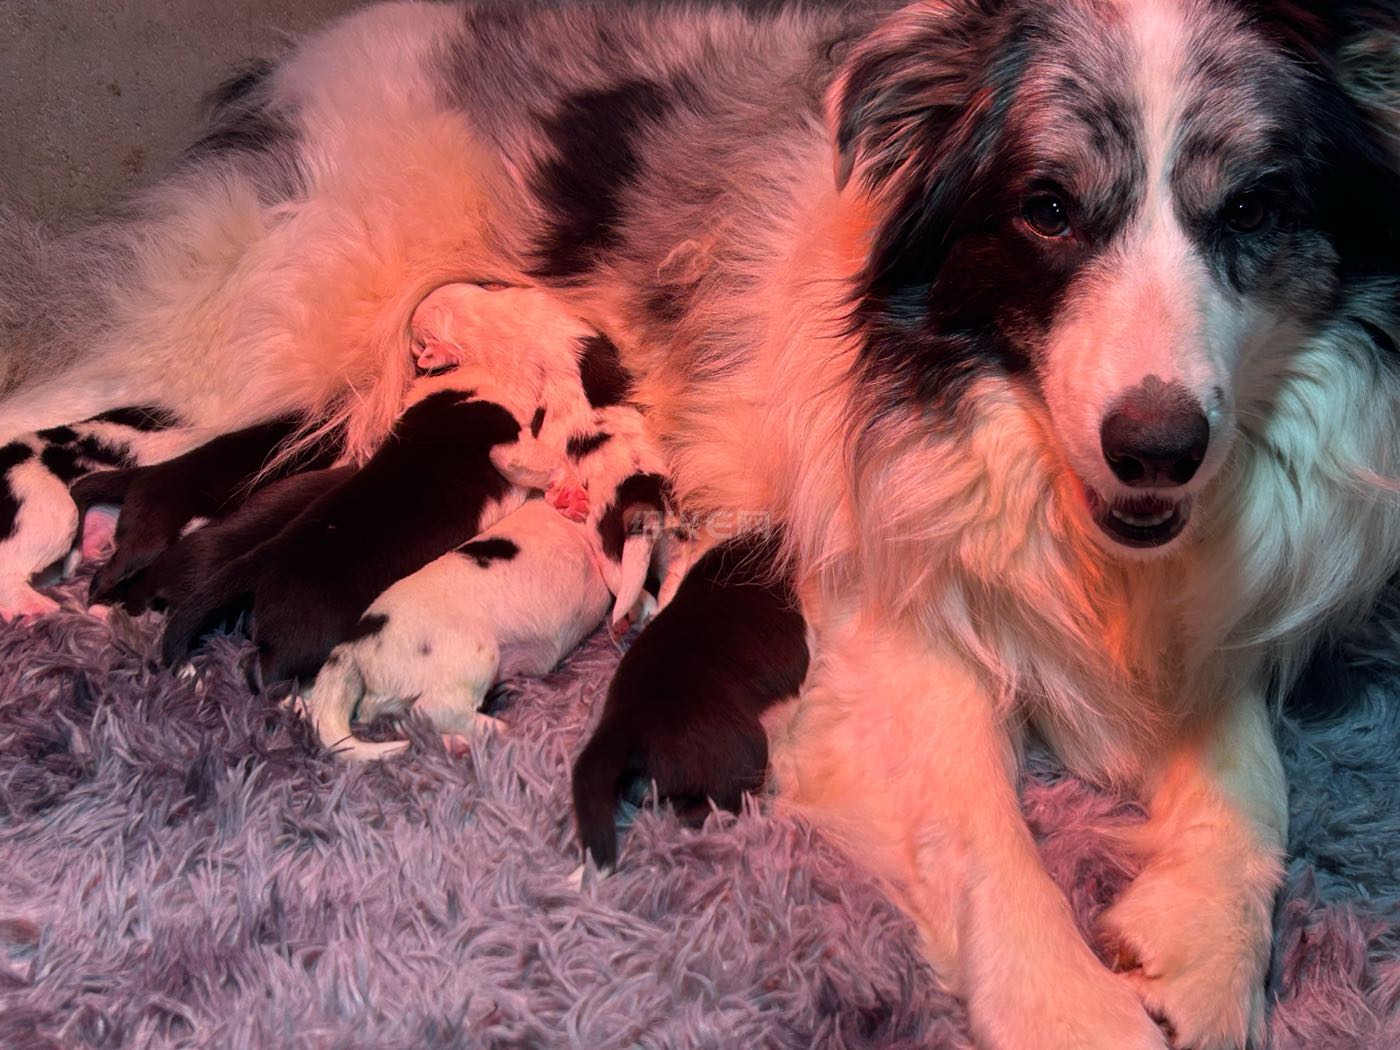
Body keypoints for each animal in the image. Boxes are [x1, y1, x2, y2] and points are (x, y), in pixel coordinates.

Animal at [2, 3, 1398, 1047]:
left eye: (1251, 209)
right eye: (1047, 207)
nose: (1156, 446)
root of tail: (303, 62)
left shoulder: (1198, 606)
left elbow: (1255, 780)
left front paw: (1196, 949)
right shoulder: (880, 636)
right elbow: (988, 850)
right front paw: (1081, 1007)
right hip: (252, 337)